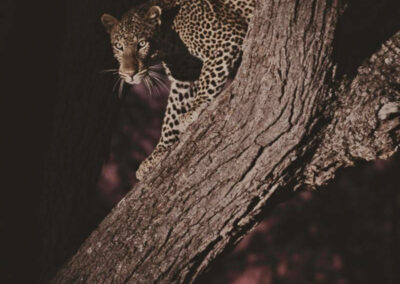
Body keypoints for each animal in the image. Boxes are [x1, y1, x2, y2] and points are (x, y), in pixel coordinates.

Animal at [101, 0, 255, 180]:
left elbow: (208, 79)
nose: (129, 74)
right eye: (119, 46)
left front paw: (194, 109)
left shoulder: (229, 37)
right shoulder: (184, 78)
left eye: (142, 44)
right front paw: (157, 153)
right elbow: (171, 115)